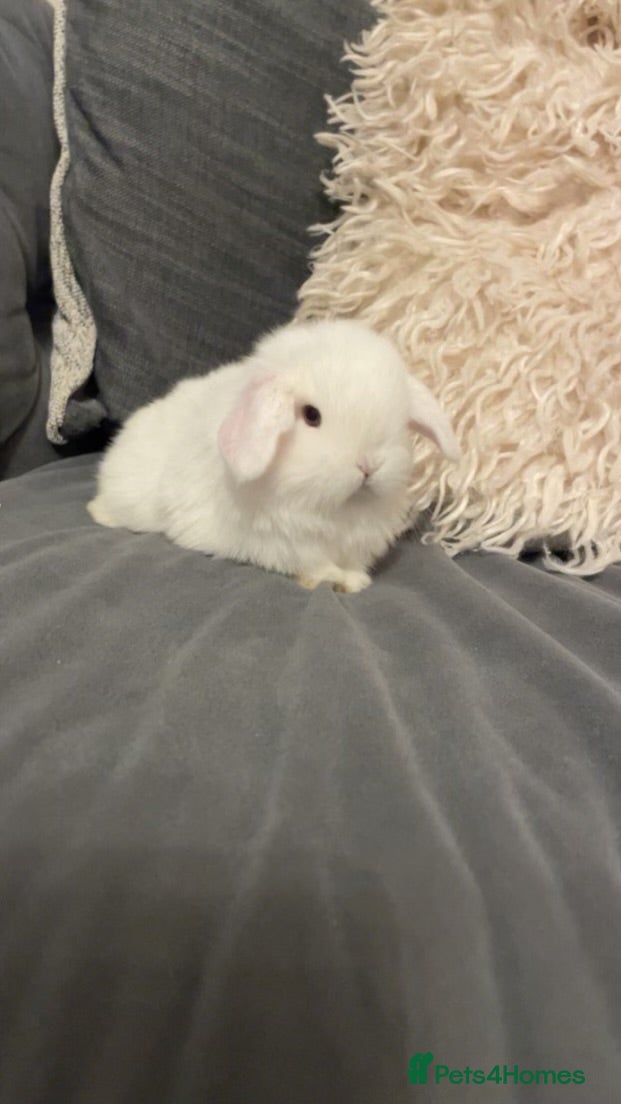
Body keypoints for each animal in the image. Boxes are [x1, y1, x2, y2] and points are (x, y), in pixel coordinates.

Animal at [87, 319, 460, 592]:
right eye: (311, 415)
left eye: (400, 419)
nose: (368, 465)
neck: (337, 511)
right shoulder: (285, 544)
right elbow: (315, 564)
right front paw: (336, 580)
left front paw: (355, 581)